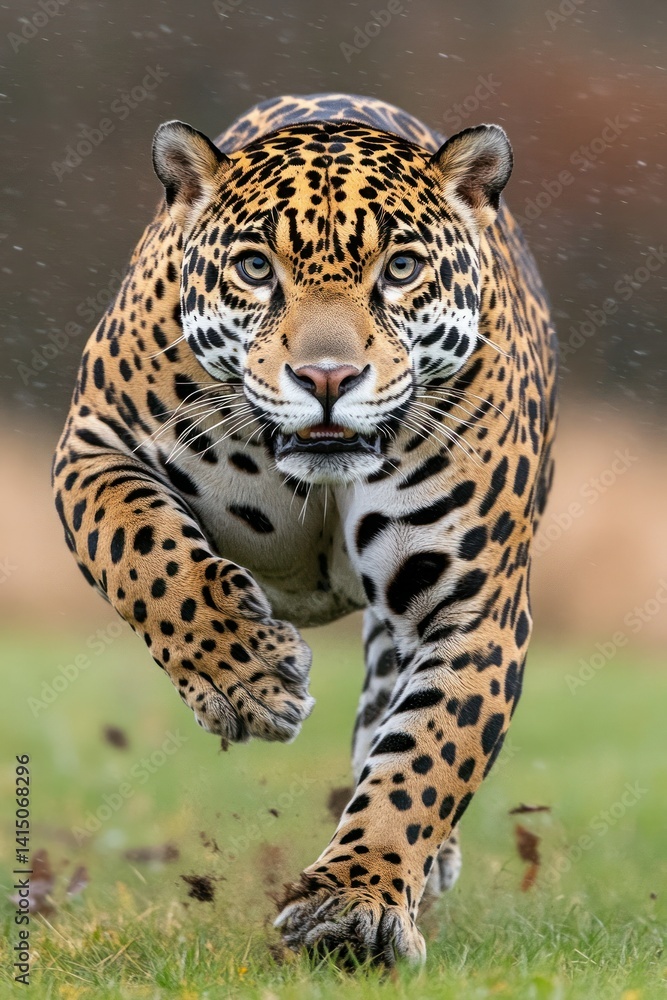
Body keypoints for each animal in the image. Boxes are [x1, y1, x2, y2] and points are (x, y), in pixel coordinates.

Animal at [52, 92, 558, 966]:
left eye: (400, 269)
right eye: (257, 269)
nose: (327, 377)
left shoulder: (472, 605)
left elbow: (425, 757)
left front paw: (354, 903)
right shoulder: (94, 448)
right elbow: (148, 554)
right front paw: (247, 680)